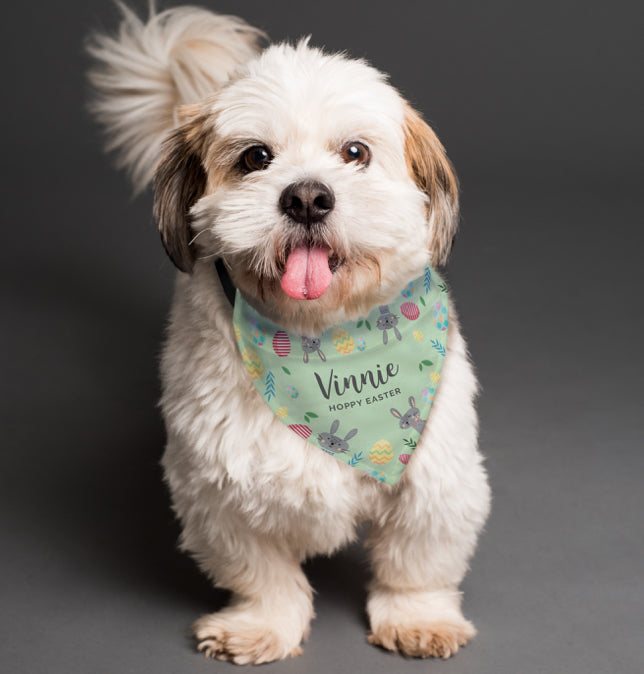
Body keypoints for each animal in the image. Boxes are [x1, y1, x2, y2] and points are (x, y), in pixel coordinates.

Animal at [85, 3, 488, 660]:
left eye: (355, 151)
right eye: (255, 157)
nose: (306, 196)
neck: (321, 337)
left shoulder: (435, 478)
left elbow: (416, 562)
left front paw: (418, 617)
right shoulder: (217, 490)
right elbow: (262, 573)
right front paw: (262, 625)